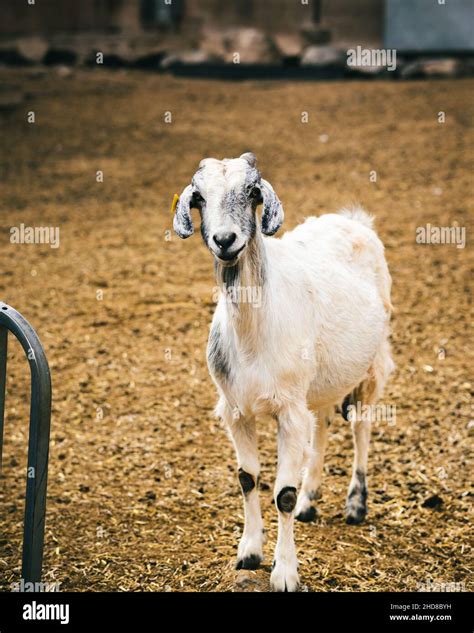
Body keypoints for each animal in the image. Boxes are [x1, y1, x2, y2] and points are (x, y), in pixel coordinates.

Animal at [173, 153, 392, 592]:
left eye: (252, 192)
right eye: (199, 197)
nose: (225, 240)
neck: (253, 333)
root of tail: (352, 220)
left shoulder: (288, 410)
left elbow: (283, 493)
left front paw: (286, 572)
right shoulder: (236, 410)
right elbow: (247, 478)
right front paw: (249, 552)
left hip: (371, 365)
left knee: (361, 426)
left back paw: (356, 503)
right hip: (322, 378)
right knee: (323, 422)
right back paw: (311, 500)